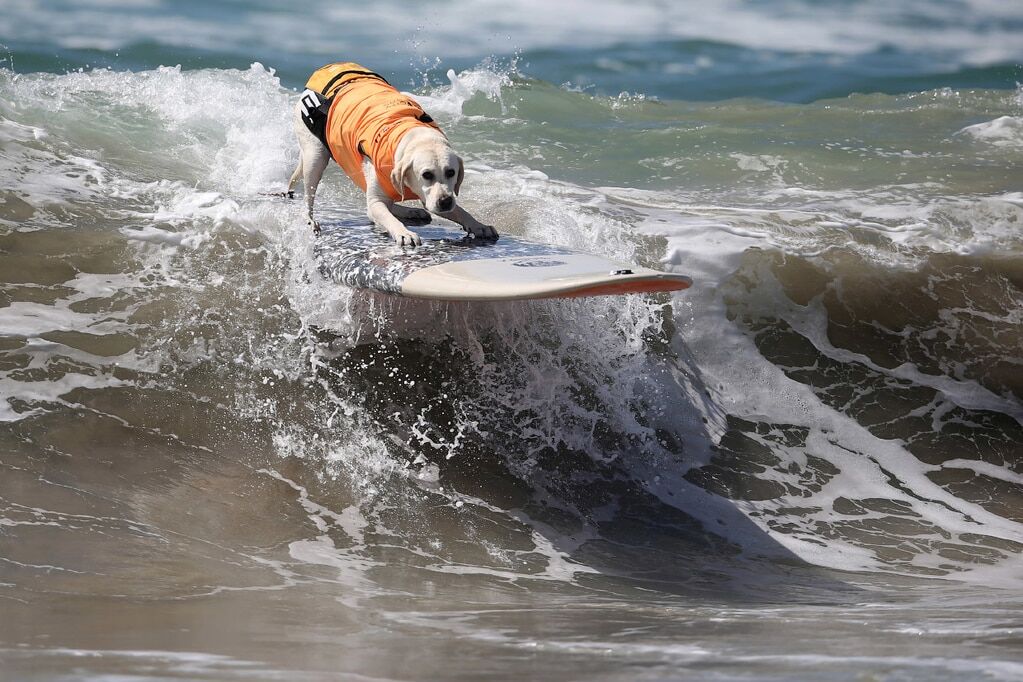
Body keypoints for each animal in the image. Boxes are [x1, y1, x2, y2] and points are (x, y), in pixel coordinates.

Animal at [290, 62, 497, 246]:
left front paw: (478, 225)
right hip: (315, 156)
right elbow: (386, 216)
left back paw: (407, 210)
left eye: (451, 172)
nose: (445, 202)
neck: (410, 136)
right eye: (426, 174)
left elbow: (460, 211)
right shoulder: (380, 199)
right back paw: (310, 220)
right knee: (309, 197)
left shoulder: (430, 197)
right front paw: (404, 233)